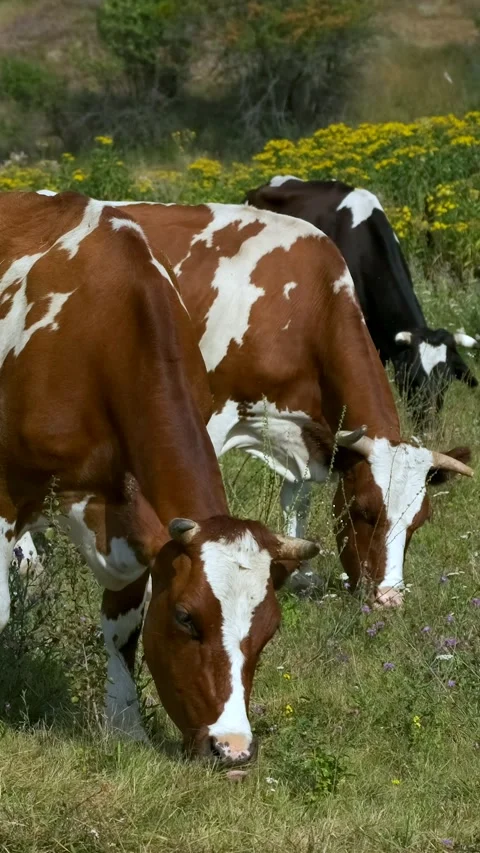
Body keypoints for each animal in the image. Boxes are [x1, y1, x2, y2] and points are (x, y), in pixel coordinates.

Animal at [0, 190, 319, 763]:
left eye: (268, 632)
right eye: (187, 618)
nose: (233, 749)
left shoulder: (126, 512)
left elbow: (122, 625)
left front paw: (126, 726)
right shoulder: (7, 493)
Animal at [22, 196, 472, 608]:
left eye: (419, 521)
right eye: (363, 510)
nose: (389, 599)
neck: (300, 300)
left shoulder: (304, 430)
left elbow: (297, 497)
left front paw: (301, 574)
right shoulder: (210, 413)